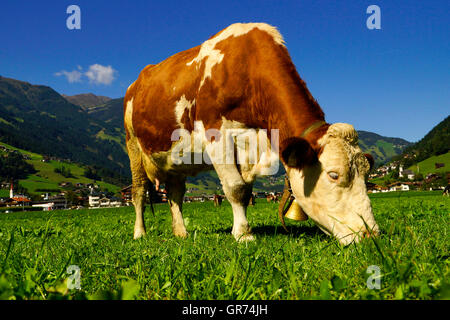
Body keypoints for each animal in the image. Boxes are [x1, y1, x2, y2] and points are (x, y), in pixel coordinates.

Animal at [123, 22, 380, 245]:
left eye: (366, 175)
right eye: (334, 175)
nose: (372, 235)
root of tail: (136, 83)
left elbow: (245, 190)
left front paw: (242, 229)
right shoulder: (216, 133)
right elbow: (235, 188)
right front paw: (243, 234)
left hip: (176, 159)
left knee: (175, 193)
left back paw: (181, 233)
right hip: (133, 146)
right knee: (139, 192)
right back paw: (139, 233)